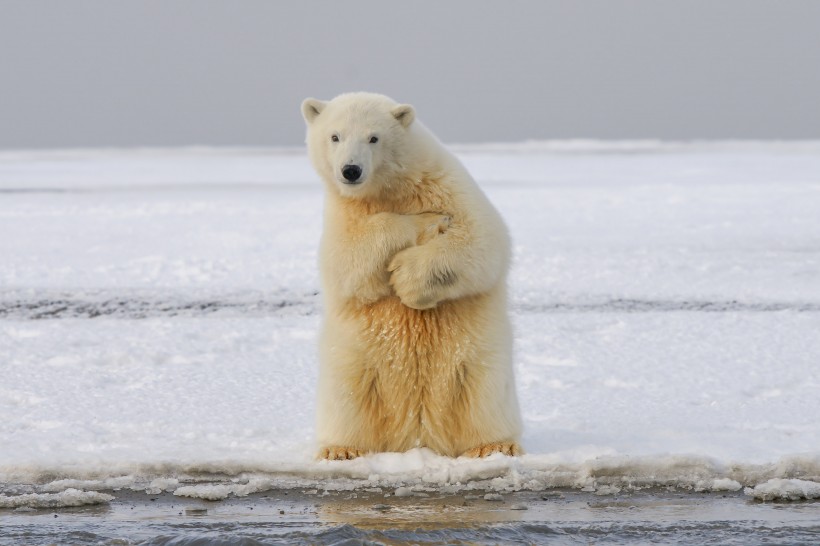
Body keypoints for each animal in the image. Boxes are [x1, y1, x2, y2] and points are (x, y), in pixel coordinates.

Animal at [300, 91, 520, 456]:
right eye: (335, 136)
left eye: (374, 137)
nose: (351, 170)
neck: (391, 188)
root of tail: (419, 435)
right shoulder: (343, 213)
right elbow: (346, 260)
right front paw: (424, 222)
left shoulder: (448, 186)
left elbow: (482, 240)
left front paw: (408, 279)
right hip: (354, 361)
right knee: (348, 397)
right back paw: (341, 449)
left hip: (477, 360)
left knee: (483, 395)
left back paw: (494, 446)